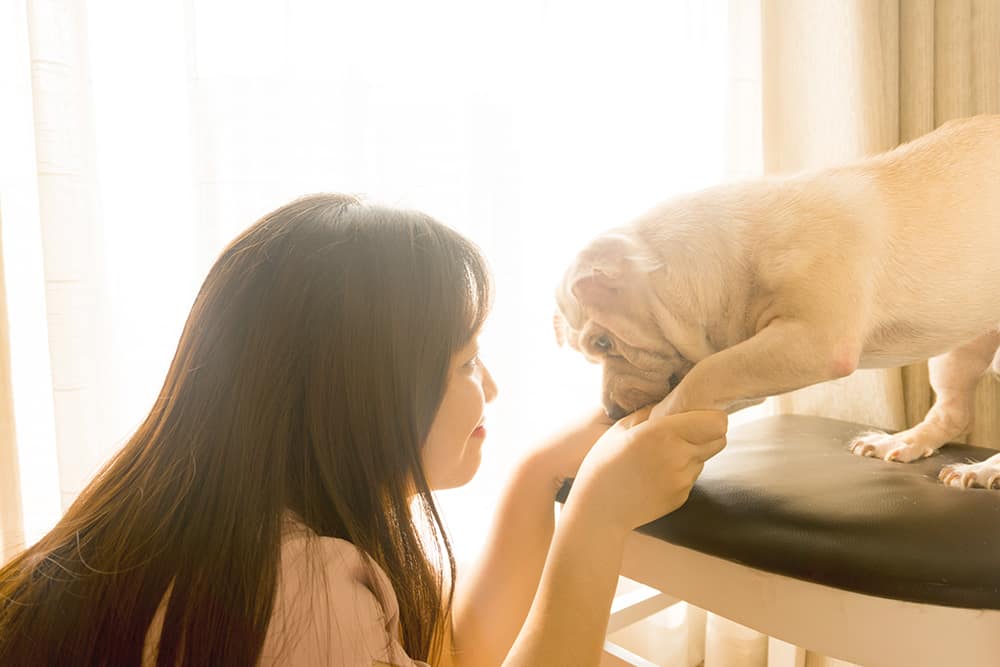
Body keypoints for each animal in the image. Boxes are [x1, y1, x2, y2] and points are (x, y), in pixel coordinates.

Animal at [556, 115, 1000, 490]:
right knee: (953, 408)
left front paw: (642, 445)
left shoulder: (811, 341)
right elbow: (712, 379)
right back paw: (904, 441)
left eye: (602, 343)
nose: (611, 413)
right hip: (959, 346)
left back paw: (984, 471)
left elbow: (706, 375)